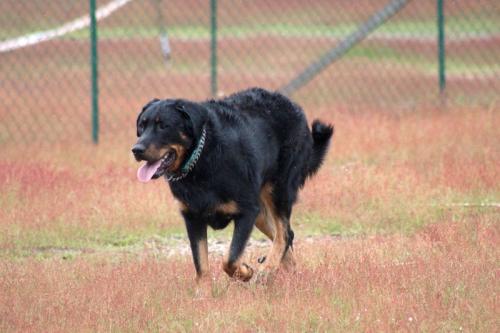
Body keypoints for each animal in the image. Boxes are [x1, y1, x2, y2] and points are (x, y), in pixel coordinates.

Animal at [132, 87, 332, 282]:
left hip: (278, 190)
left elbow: (230, 259)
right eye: (142, 125)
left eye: (163, 126)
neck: (202, 160)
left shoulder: (247, 211)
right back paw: (282, 273)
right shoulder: (193, 218)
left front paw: (246, 272)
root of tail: (295, 107)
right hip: (261, 211)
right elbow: (201, 266)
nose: (136, 150)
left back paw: (267, 269)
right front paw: (204, 291)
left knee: (283, 234)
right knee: (284, 234)